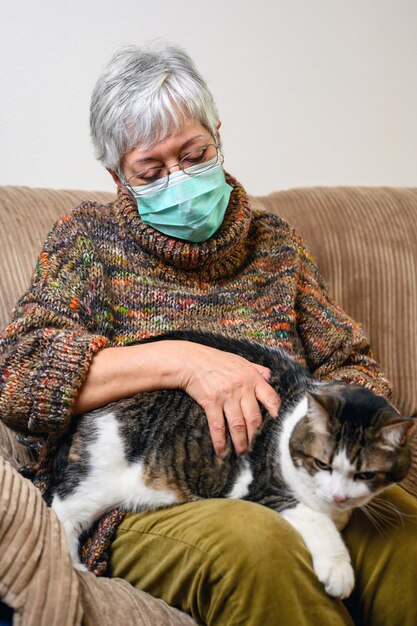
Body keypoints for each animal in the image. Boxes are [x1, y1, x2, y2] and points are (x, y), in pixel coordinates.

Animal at [49, 330, 412, 596]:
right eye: (322, 464)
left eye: (366, 474)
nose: (339, 496)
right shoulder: (263, 488)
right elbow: (315, 518)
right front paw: (338, 569)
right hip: (99, 473)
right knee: (62, 512)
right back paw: (74, 567)